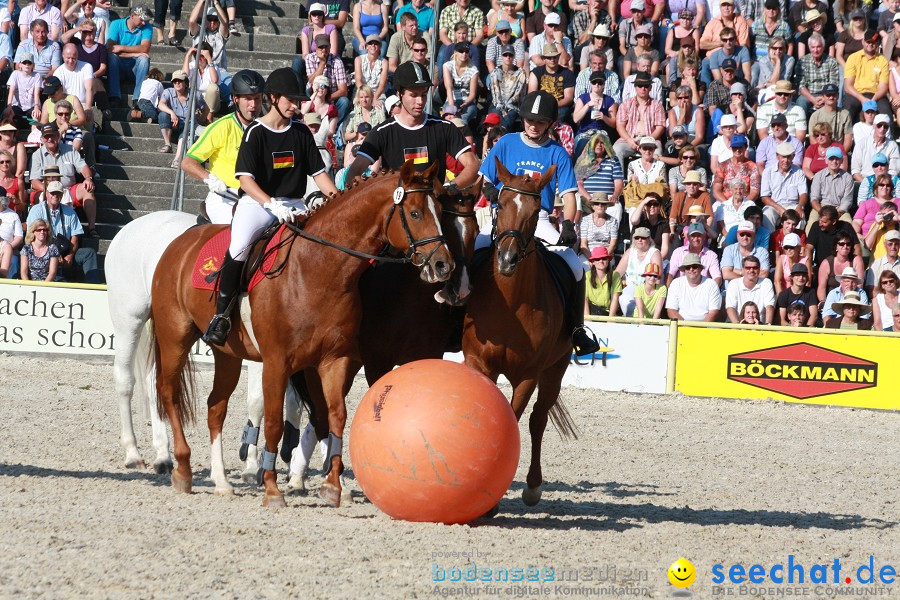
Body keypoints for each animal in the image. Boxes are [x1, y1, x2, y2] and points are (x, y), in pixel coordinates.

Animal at [152, 159, 458, 506]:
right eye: (416, 213)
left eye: (441, 211)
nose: (444, 265)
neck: (319, 268)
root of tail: (182, 241)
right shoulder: (277, 362)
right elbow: (274, 424)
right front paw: (272, 489)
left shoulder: (332, 360)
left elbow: (335, 416)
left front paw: (333, 486)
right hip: (174, 338)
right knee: (168, 393)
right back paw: (182, 468)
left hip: (227, 353)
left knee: (216, 406)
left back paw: (221, 482)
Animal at [464, 162, 576, 508]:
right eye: (500, 204)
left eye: (535, 210)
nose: (507, 259)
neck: (511, 304)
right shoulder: (479, 362)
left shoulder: (528, 375)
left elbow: (513, 419)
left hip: (556, 368)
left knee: (538, 420)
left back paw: (533, 486)